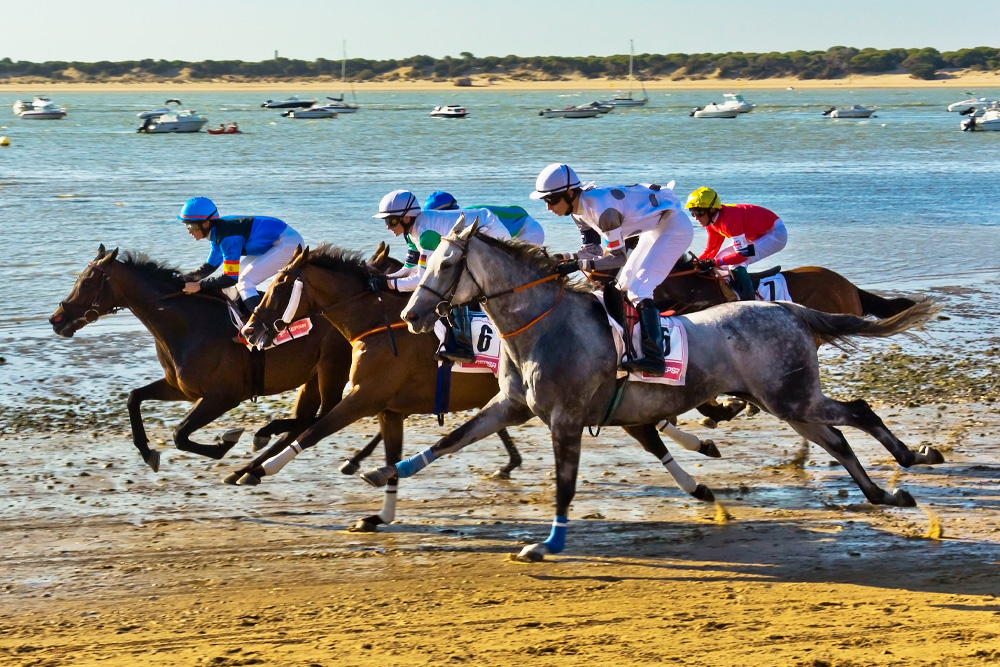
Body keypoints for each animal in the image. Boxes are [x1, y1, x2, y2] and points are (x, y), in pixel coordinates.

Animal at [236, 243, 720, 528]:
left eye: (279, 283)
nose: (251, 329)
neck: (379, 321)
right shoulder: (387, 408)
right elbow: (388, 455)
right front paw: (381, 513)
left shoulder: (363, 398)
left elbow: (311, 431)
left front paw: (257, 469)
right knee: (646, 429)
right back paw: (698, 471)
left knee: (648, 432)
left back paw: (697, 469)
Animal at [364, 217, 940, 560]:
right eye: (424, 262)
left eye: (446, 263)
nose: (413, 315)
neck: (543, 325)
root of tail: (789, 309)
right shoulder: (510, 406)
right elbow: (448, 441)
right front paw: (382, 473)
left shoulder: (565, 419)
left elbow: (564, 485)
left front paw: (548, 543)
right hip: (785, 402)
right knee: (838, 439)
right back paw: (883, 491)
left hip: (791, 397)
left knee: (860, 412)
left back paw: (911, 459)